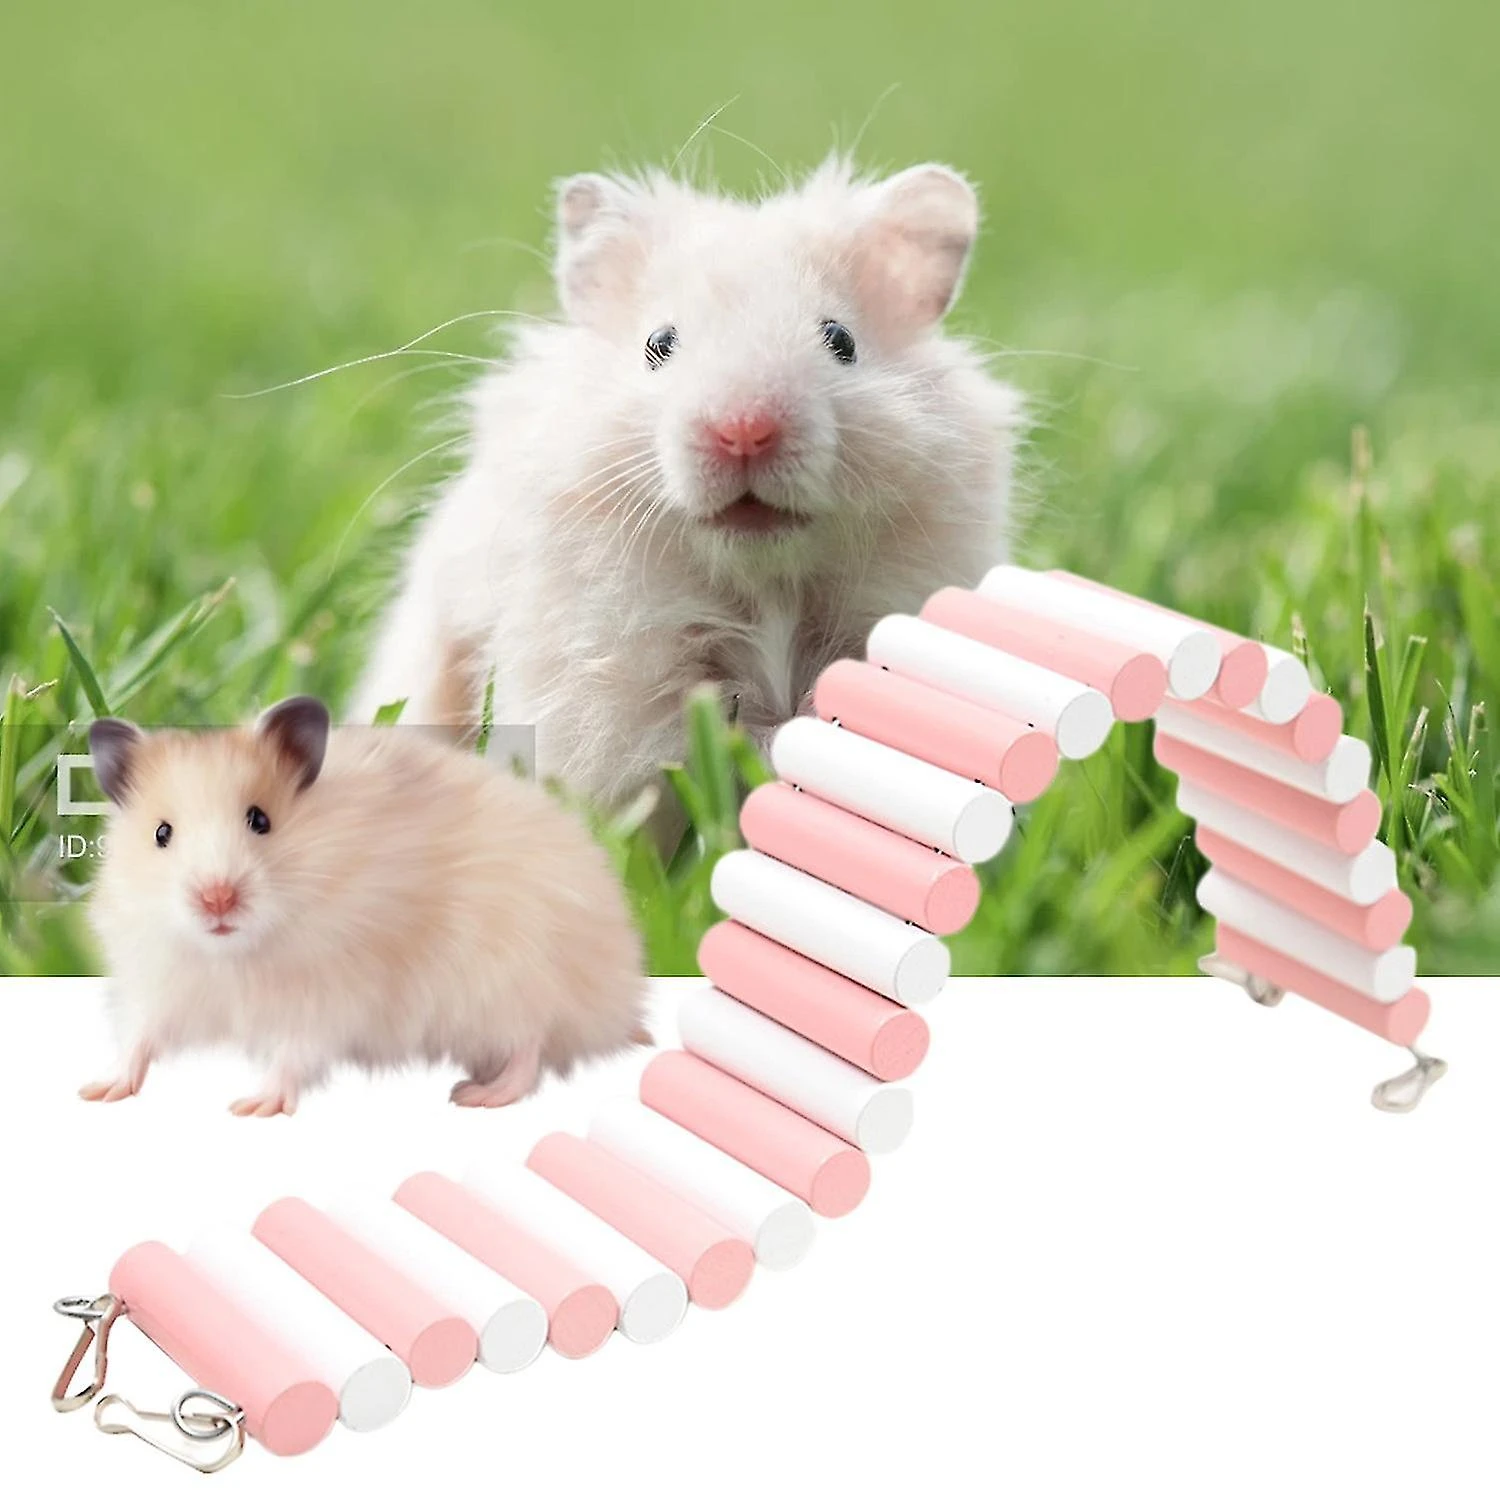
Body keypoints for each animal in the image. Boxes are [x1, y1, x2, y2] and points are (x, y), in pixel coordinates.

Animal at [81, 696, 649, 1117]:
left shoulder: (330, 996)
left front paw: (253, 1105)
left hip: (511, 976)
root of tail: (620, 1002)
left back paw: (477, 1095)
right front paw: (99, 1090)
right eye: (162, 833)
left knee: (532, 1043)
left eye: (260, 820)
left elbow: (294, 1053)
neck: (235, 954)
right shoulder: (161, 981)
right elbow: (139, 1038)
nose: (216, 898)